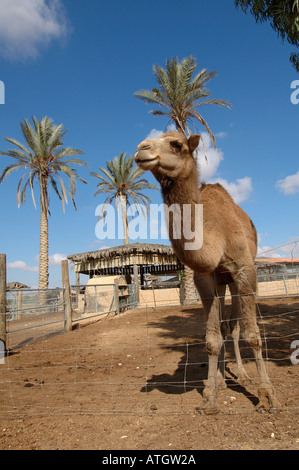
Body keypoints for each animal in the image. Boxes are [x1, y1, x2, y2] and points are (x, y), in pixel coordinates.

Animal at [135, 130, 280, 414]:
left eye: (176, 144)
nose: (141, 149)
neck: (214, 234)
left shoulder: (244, 270)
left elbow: (253, 335)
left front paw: (268, 397)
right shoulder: (204, 276)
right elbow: (212, 339)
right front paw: (209, 397)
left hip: (233, 279)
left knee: (234, 328)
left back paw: (242, 375)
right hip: (221, 281)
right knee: (224, 328)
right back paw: (223, 380)